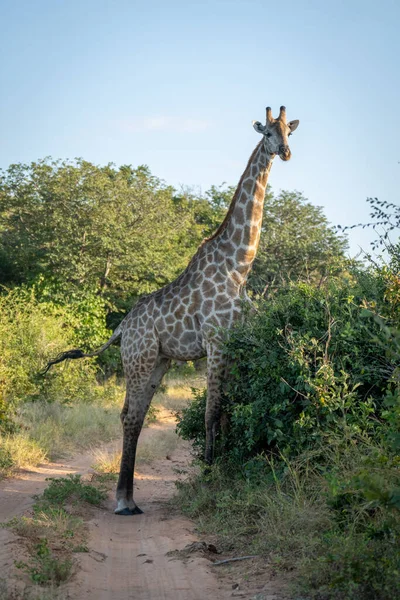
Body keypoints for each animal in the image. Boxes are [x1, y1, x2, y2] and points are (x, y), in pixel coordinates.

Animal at [44, 105, 300, 512]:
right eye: (267, 134)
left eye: (289, 132)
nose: (286, 152)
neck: (239, 265)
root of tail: (121, 329)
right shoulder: (215, 342)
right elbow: (212, 412)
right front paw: (208, 477)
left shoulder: (234, 342)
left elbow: (226, 412)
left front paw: (219, 472)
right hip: (140, 357)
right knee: (129, 415)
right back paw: (122, 501)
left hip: (158, 361)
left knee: (135, 414)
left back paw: (130, 498)